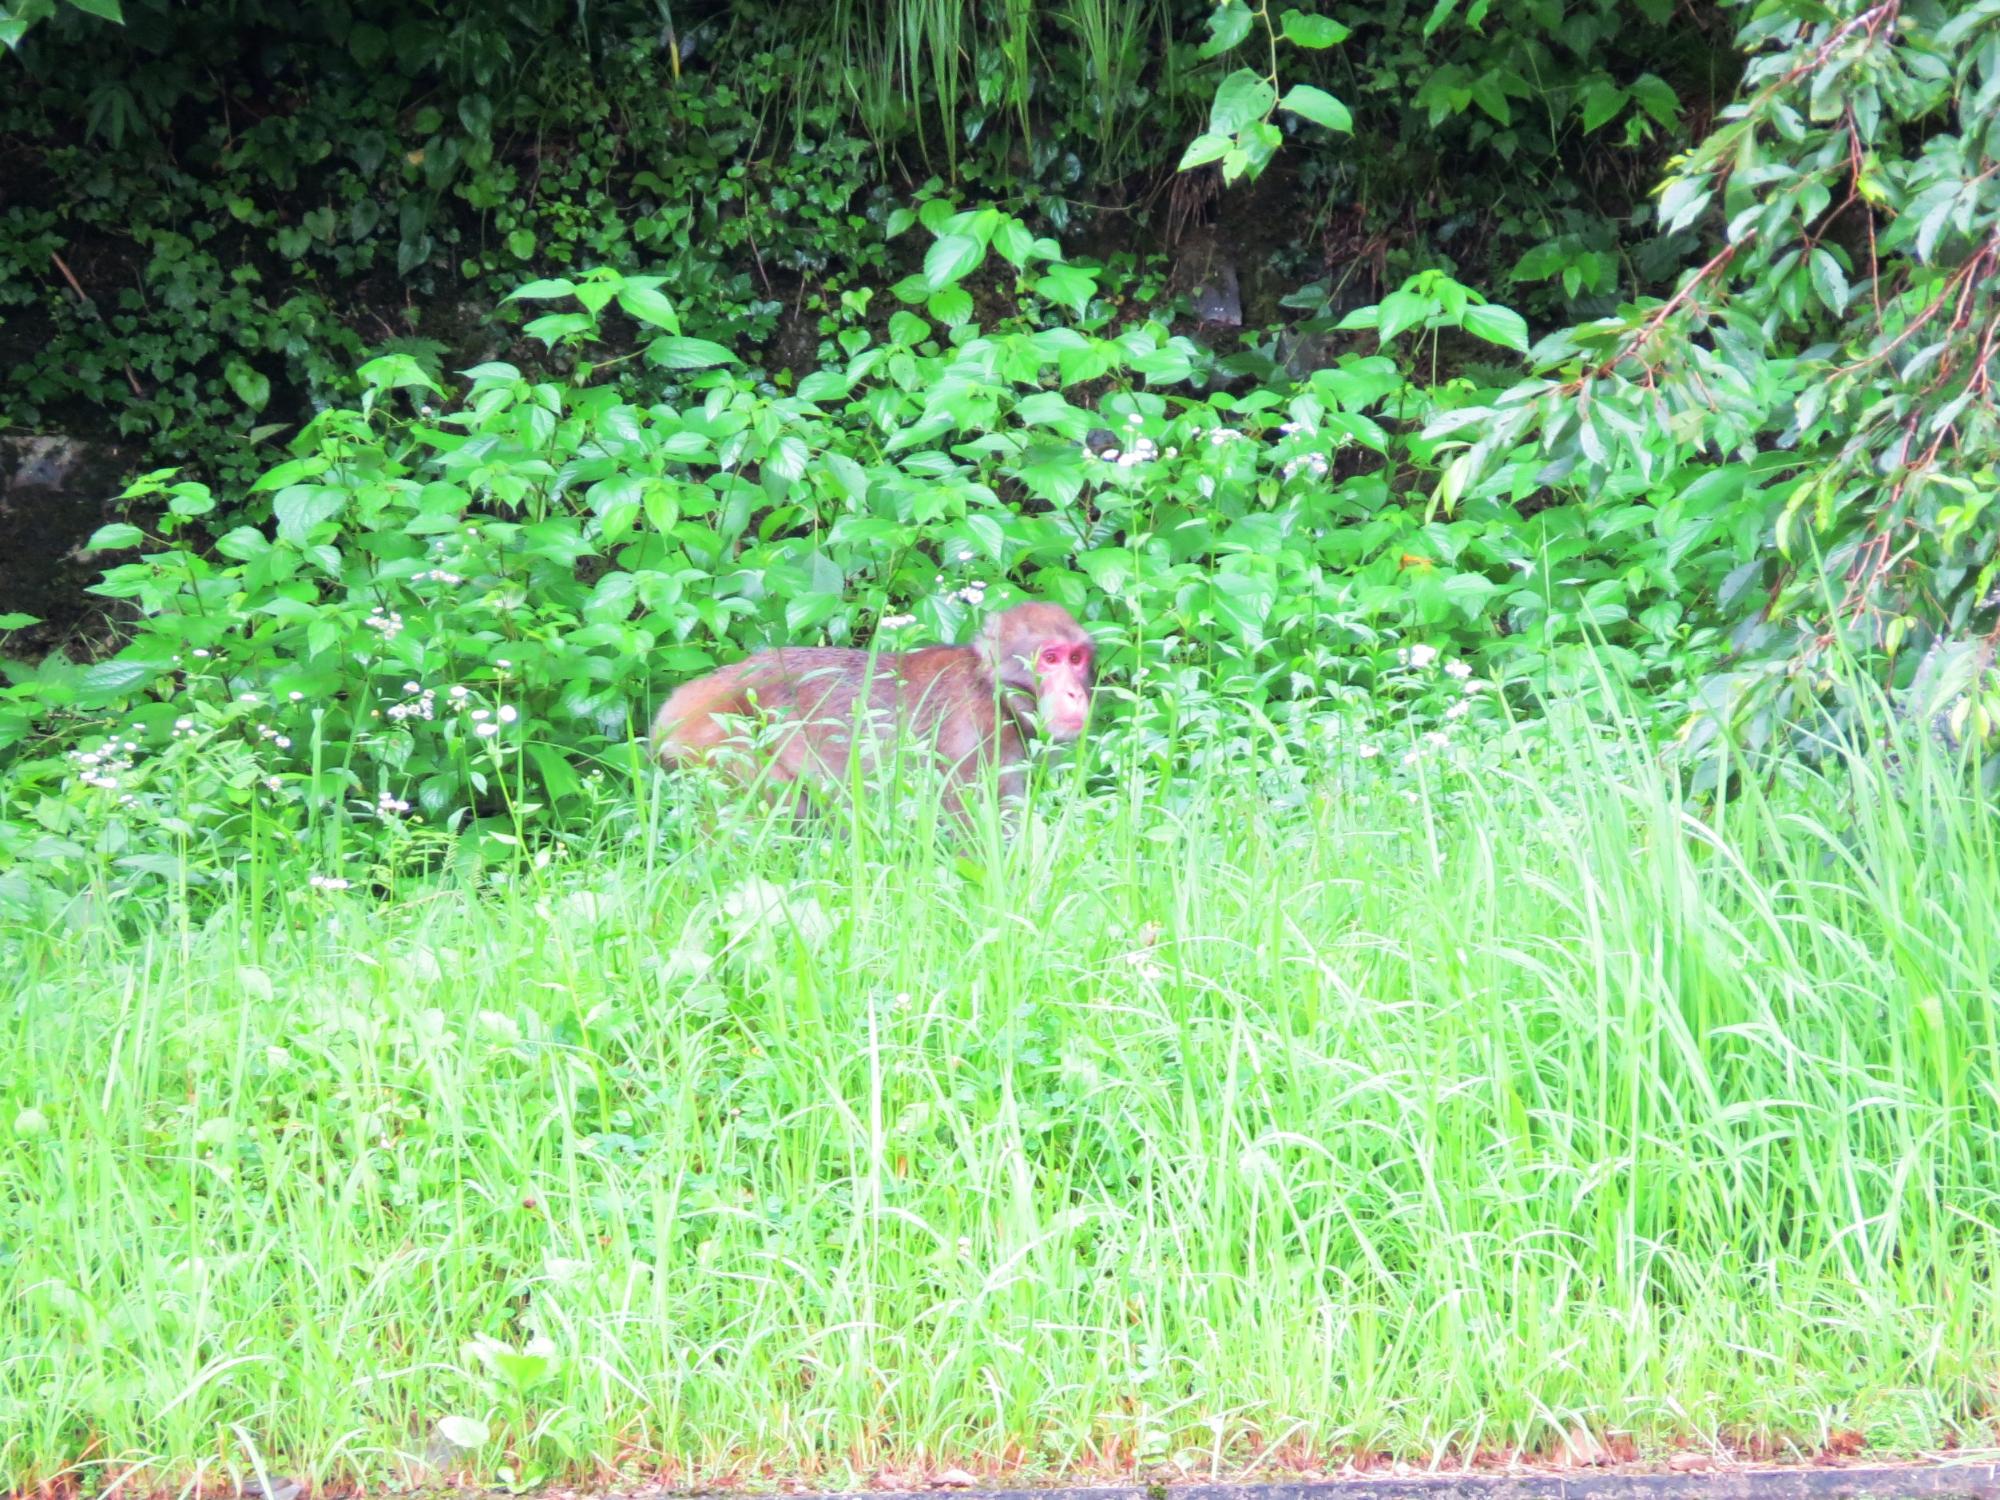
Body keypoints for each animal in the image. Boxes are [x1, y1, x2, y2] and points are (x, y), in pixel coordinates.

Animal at [652, 600, 1096, 816]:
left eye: (1076, 659)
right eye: (1050, 658)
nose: (1075, 694)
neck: (992, 688)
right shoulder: (974, 738)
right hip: (714, 741)